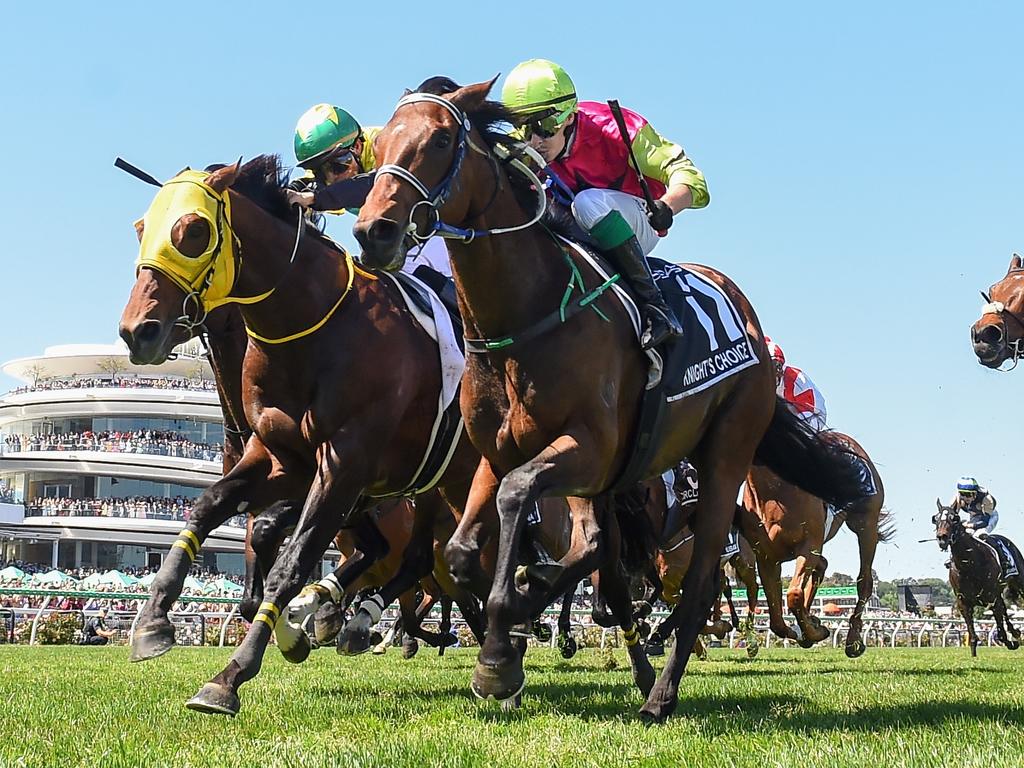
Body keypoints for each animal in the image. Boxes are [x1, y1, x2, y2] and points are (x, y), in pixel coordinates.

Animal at [356, 79, 868, 720]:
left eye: (442, 139)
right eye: (379, 146)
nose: (373, 231)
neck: (527, 315)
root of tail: (742, 312)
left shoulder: (586, 447)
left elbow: (519, 501)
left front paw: (503, 648)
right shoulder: (497, 453)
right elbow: (463, 553)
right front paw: (510, 636)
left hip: (724, 451)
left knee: (699, 575)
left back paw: (661, 694)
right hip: (616, 477)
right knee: (603, 551)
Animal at [737, 436, 888, 659]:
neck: (775, 491)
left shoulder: (809, 546)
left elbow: (794, 595)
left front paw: (816, 632)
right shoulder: (766, 556)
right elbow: (776, 618)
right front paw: (806, 629)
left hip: (865, 524)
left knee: (865, 581)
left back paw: (853, 640)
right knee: (822, 566)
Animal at [937, 501, 1024, 659]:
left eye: (955, 518)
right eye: (935, 519)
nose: (942, 537)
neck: (969, 564)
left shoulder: (992, 599)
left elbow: (1001, 633)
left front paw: (1011, 642)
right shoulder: (963, 603)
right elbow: (972, 635)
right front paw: (974, 655)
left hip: (1019, 583)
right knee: (1005, 611)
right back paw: (1014, 632)